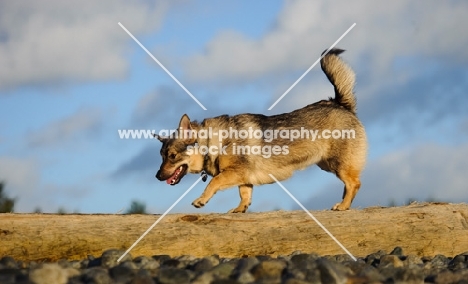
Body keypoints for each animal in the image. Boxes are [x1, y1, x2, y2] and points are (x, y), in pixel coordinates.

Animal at [155, 48, 368, 212]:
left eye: (172, 156)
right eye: (162, 156)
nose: (157, 176)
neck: (213, 143)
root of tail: (340, 104)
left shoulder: (233, 173)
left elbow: (213, 183)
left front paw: (201, 199)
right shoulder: (243, 178)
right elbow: (244, 194)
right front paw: (240, 209)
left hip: (338, 163)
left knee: (354, 183)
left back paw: (343, 205)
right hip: (327, 164)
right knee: (350, 185)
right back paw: (345, 204)